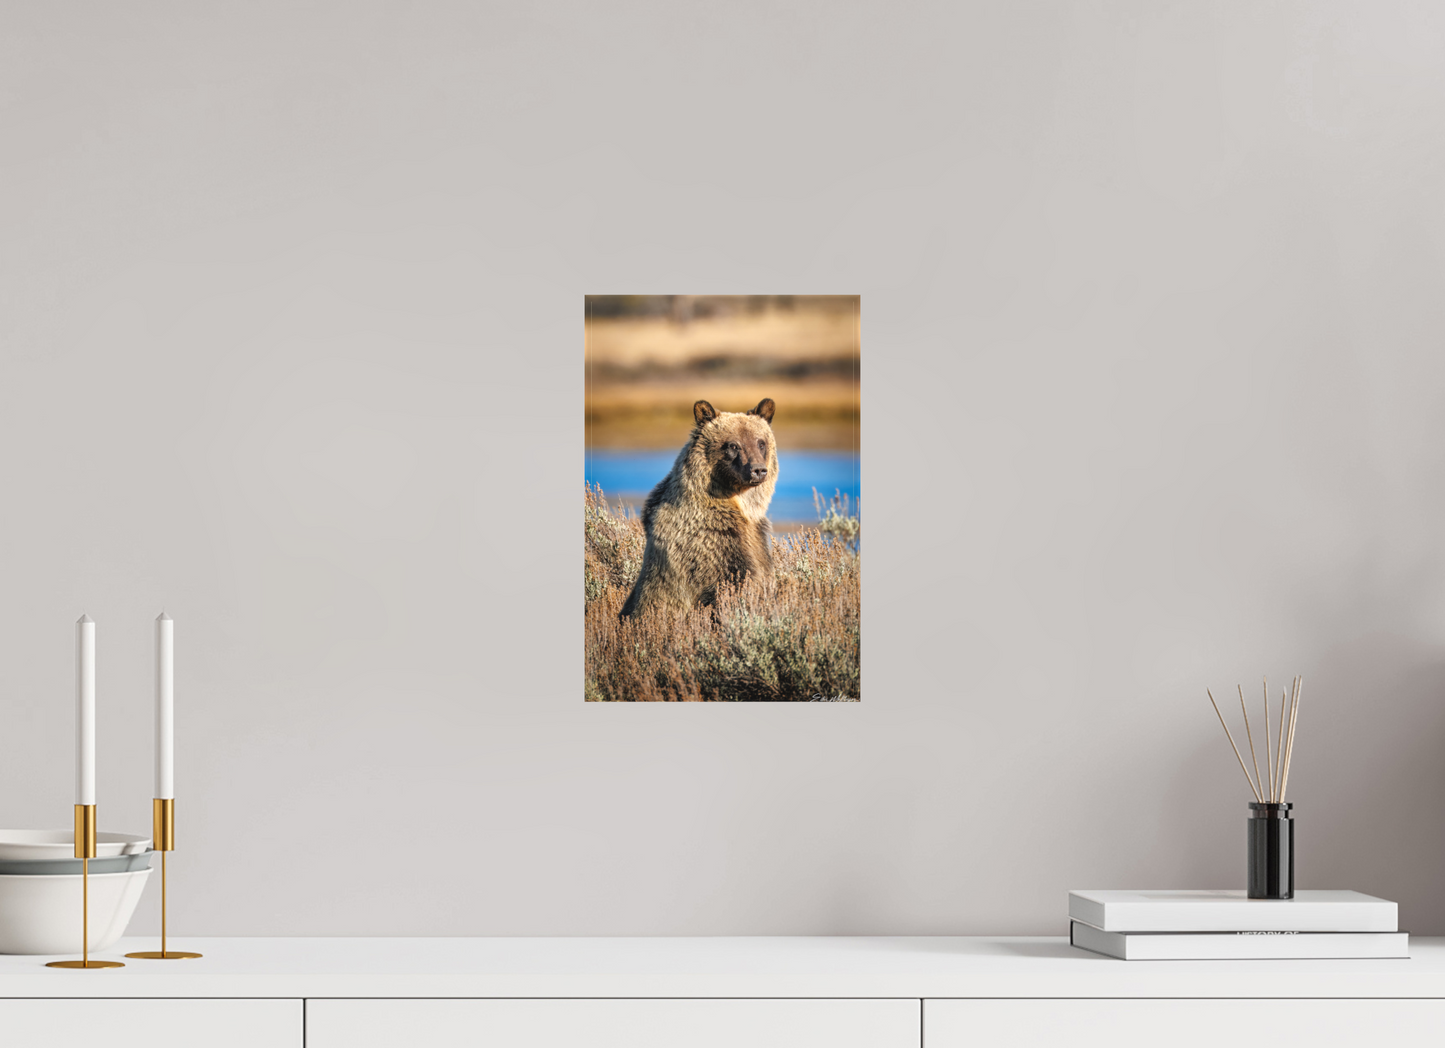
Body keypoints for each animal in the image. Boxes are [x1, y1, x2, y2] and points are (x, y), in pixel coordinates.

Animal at [619, 398, 778, 619]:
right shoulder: (711, 541)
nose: (758, 470)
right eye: (733, 445)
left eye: (760, 442)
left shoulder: (757, 539)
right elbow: (731, 585)